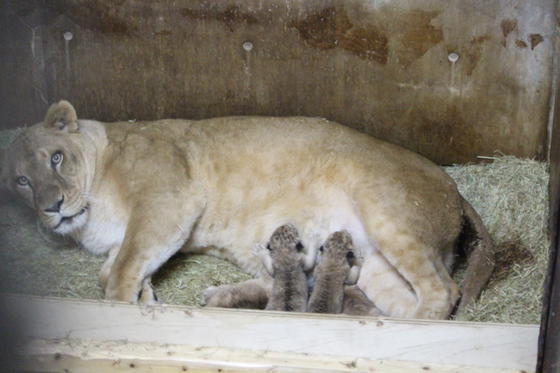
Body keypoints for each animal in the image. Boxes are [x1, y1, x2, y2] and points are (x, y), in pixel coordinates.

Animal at [0, 100, 492, 318]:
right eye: (22, 181)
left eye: (56, 158)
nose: (52, 207)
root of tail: (454, 185)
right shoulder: (132, 236)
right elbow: (118, 266)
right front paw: (144, 295)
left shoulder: (167, 201)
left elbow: (121, 270)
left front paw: (122, 308)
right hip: (373, 262)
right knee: (405, 298)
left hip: (386, 212)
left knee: (443, 291)